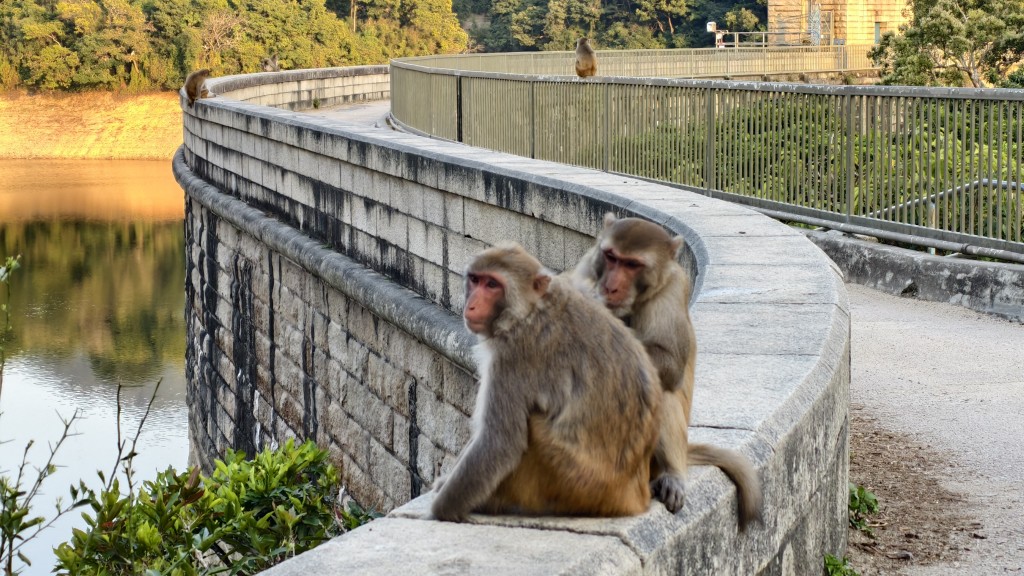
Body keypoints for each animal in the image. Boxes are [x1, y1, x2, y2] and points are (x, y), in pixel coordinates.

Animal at [428, 241, 659, 520]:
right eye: (475, 280)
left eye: (492, 284)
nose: (471, 306)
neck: (530, 309)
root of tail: (635, 497)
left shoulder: (513, 357)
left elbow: (498, 442)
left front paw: (441, 509)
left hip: (577, 483)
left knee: (533, 428)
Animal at [573, 213, 765, 528]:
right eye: (611, 257)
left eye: (633, 264)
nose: (611, 287)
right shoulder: (587, 267)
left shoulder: (673, 288)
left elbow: (669, 363)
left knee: (655, 385)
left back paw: (670, 475)